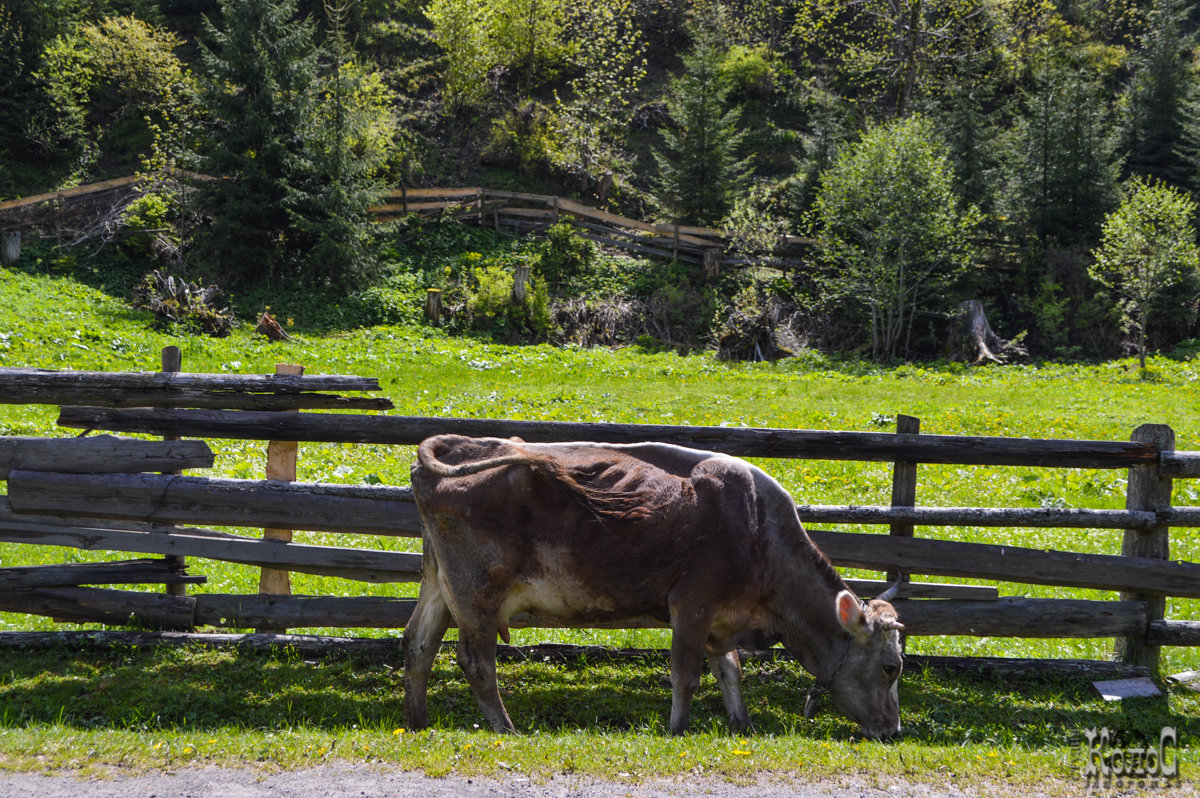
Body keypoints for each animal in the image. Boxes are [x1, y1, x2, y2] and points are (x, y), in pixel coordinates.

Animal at [403, 432, 902, 739]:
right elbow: (686, 673)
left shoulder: (720, 618)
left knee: (419, 643)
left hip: (439, 584)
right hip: (477, 593)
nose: (893, 732)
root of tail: (463, 444)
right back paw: (506, 728)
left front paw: (741, 725)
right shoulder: (693, 604)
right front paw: (677, 729)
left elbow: (729, 669)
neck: (760, 531)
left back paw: (417, 721)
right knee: (476, 661)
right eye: (890, 668)